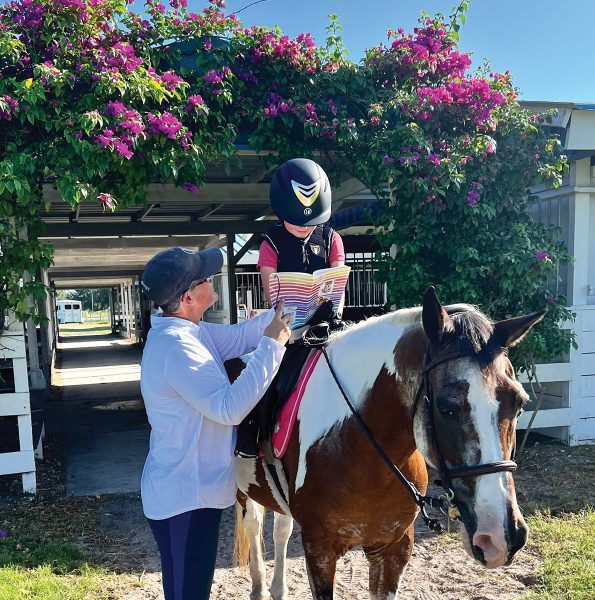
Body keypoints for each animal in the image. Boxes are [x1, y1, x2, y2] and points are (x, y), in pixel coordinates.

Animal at [233, 288, 544, 596]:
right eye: (446, 407)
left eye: (519, 404)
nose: (502, 536)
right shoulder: (319, 550)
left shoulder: (393, 548)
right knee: (254, 524)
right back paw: (260, 588)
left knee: (281, 528)